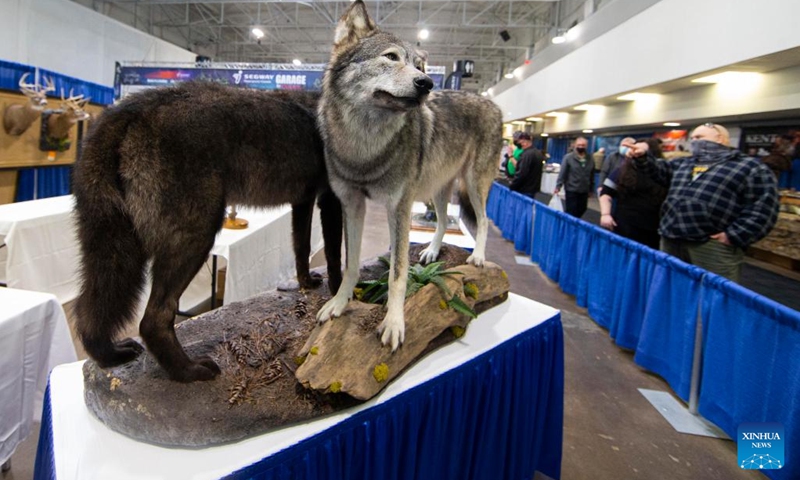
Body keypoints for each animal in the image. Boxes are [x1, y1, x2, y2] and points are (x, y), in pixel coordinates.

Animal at [76, 81, 346, 382]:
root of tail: (135, 106)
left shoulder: (303, 201)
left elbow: (302, 247)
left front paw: (306, 283)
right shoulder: (332, 200)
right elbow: (335, 256)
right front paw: (341, 297)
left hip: (113, 254)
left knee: (89, 311)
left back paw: (109, 354)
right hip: (196, 238)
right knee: (153, 320)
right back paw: (187, 370)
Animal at [316, 1, 504, 348]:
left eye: (419, 66)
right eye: (391, 57)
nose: (427, 84)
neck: (364, 146)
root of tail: (492, 103)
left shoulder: (399, 207)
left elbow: (398, 274)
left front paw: (393, 323)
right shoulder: (352, 204)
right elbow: (351, 265)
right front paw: (339, 303)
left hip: (473, 184)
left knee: (483, 220)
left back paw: (478, 257)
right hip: (438, 189)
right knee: (442, 221)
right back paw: (431, 251)